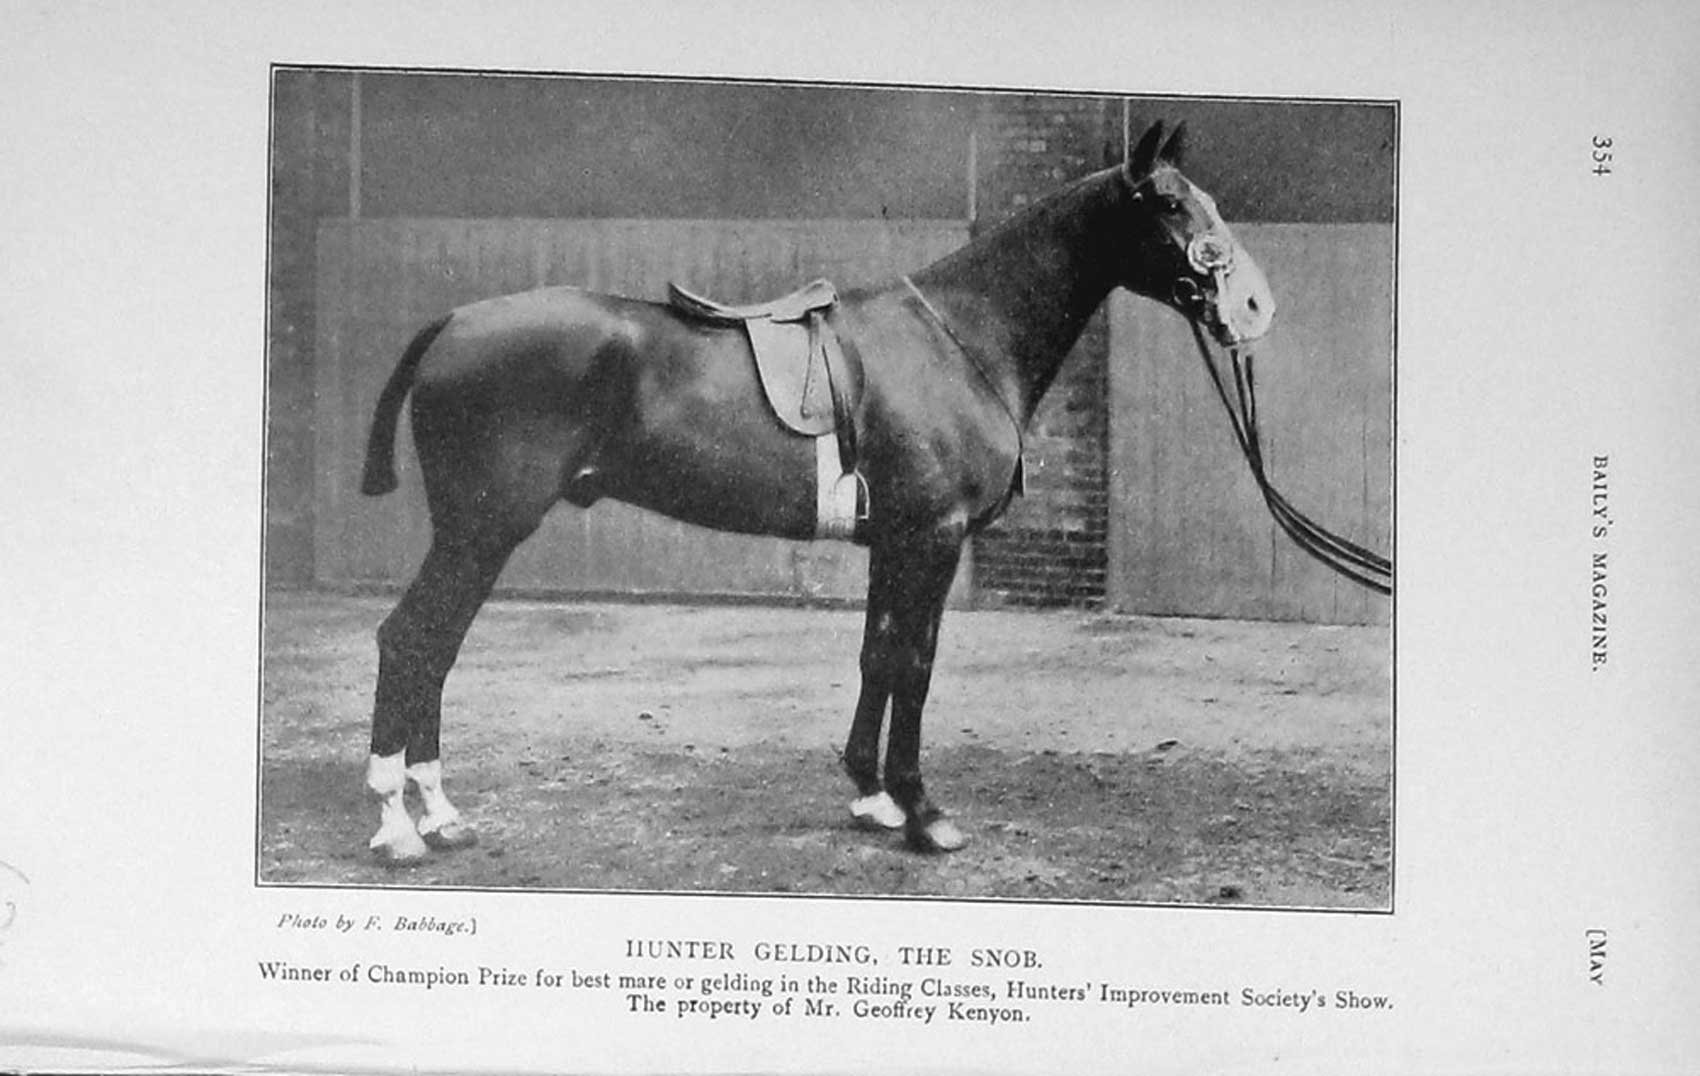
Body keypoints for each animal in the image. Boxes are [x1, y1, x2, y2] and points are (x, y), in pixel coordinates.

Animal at [355, 121, 1275, 864]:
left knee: (434, 647)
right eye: (1169, 203)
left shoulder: (892, 541)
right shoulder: (934, 538)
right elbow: (916, 664)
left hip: (477, 534)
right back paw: (399, 825)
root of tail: (453, 323)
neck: (960, 338)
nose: (1253, 305)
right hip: (482, 529)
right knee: (412, 640)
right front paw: (923, 812)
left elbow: (876, 656)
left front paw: (871, 797)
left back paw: (438, 815)